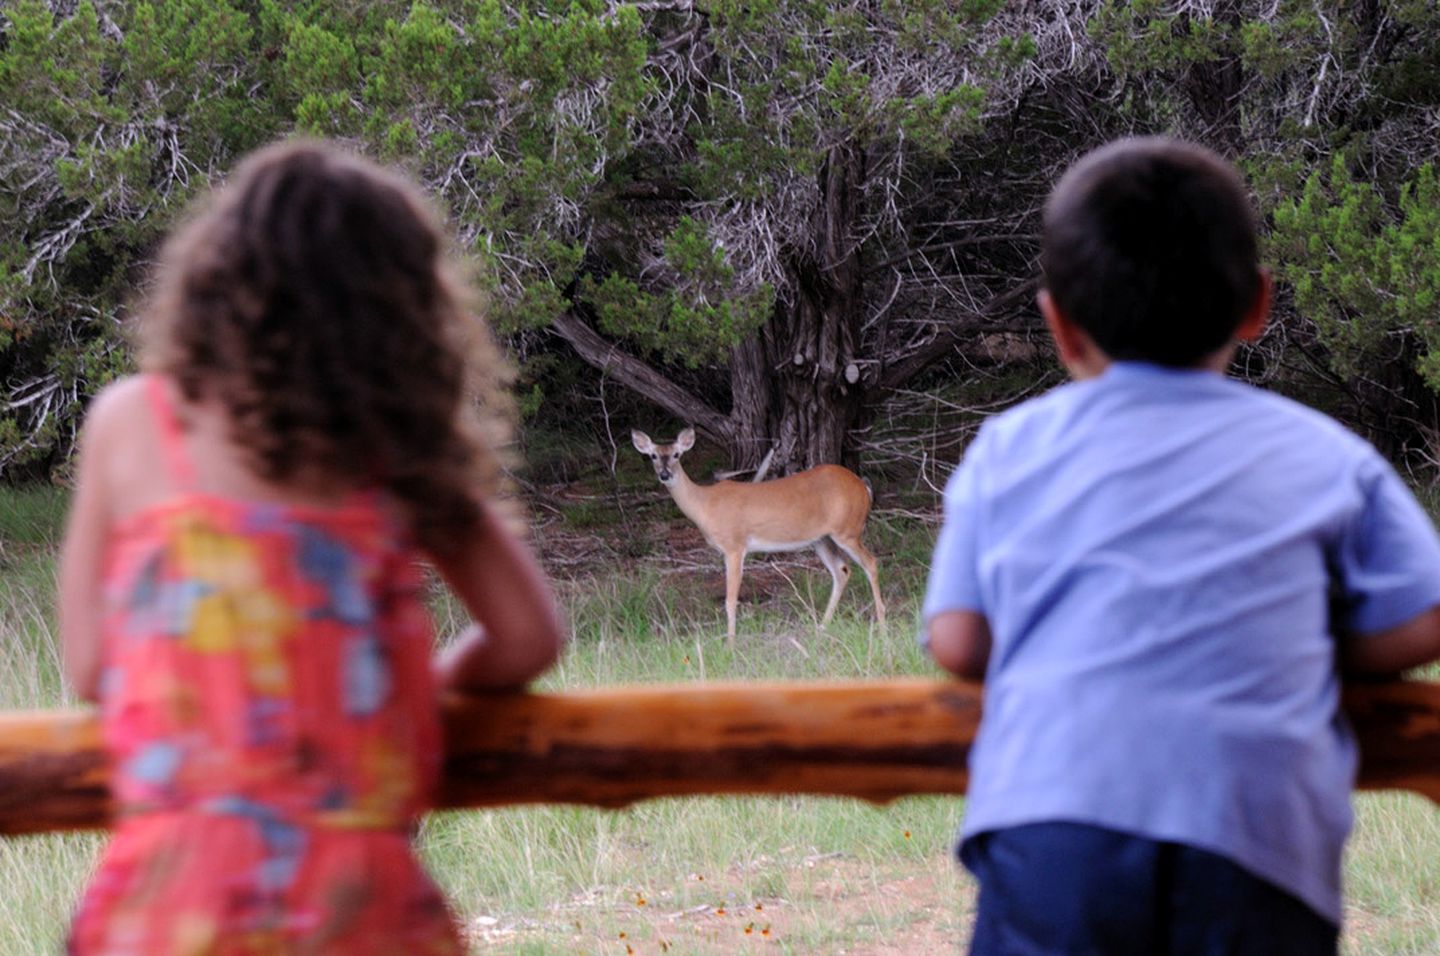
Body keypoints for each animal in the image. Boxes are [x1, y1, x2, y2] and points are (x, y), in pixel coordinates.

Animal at [633, 426, 887, 642]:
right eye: (653, 456)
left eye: (676, 454)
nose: (665, 474)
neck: (705, 505)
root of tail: (863, 487)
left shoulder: (735, 546)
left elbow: (730, 600)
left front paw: (730, 643)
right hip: (821, 539)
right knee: (841, 570)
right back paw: (822, 627)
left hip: (848, 530)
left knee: (871, 562)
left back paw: (882, 623)